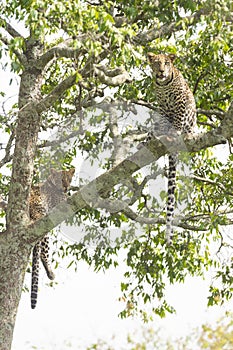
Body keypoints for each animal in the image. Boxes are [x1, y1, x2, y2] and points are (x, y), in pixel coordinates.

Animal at [29, 168, 74, 308]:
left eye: (69, 179)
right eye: (61, 180)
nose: (66, 187)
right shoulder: (61, 201)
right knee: (43, 253)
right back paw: (50, 272)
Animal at [147, 52, 197, 243]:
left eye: (167, 63)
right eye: (156, 63)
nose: (161, 71)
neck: (163, 85)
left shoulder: (180, 101)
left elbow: (177, 119)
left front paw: (174, 132)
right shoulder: (162, 106)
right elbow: (161, 119)